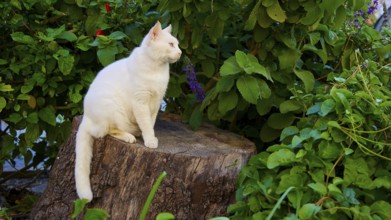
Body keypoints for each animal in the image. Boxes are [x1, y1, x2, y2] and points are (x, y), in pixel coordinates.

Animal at [75, 21, 182, 201]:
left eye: (177, 44)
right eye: (171, 44)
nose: (180, 52)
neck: (157, 69)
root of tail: (85, 117)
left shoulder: (156, 103)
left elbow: (150, 123)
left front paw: (149, 137)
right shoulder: (141, 102)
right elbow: (146, 124)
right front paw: (150, 140)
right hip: (112, 108)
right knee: (106, 131)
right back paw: (129, 136)